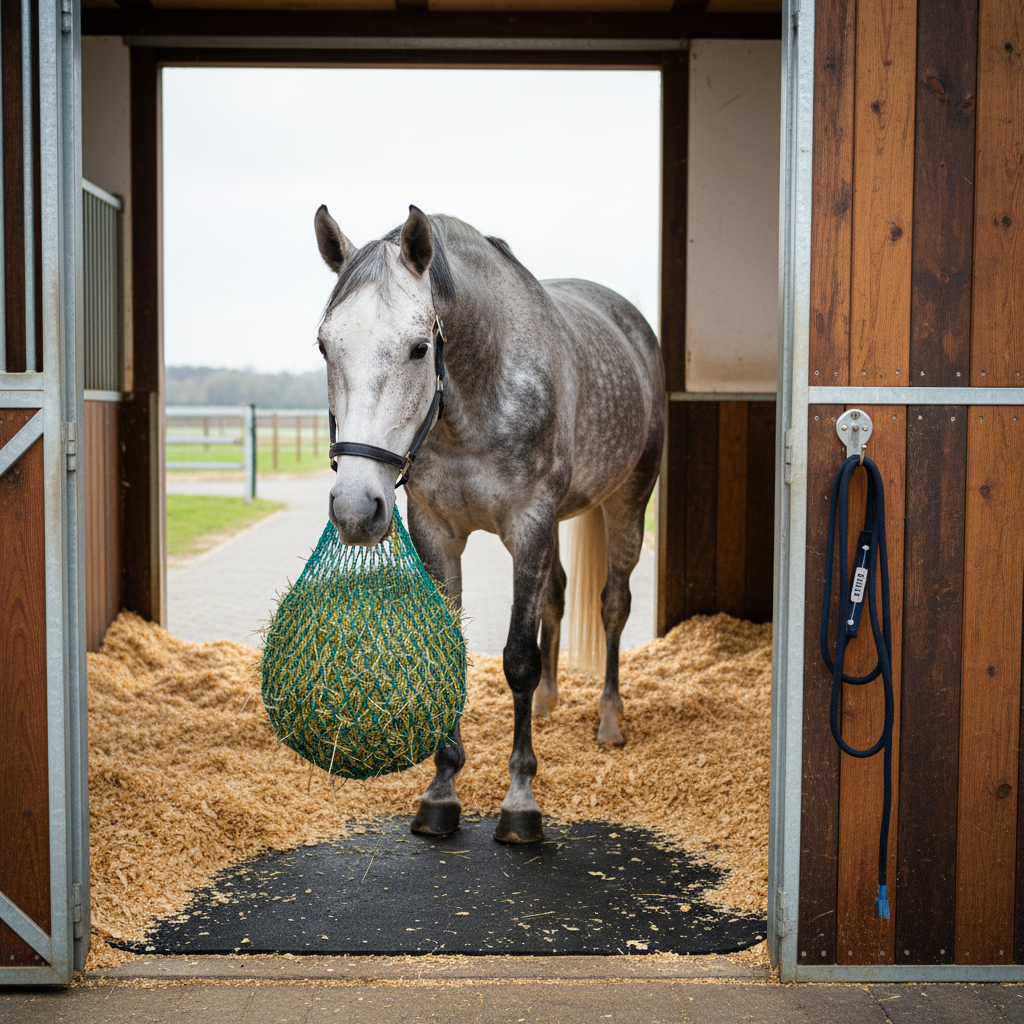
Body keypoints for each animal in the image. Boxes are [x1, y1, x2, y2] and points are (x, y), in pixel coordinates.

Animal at [314, 204, 664, 844]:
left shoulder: (528, 526)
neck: (475, 398)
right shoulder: (436, 530)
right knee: (556, 596)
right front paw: (441, 792)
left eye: (419, 348)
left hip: (627, 501)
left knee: (613, 604)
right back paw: (550, 703)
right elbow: (455, 651)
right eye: (326, 346)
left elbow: (518, 660)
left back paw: (609, 719)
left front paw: (521, 800)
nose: (356, 508)